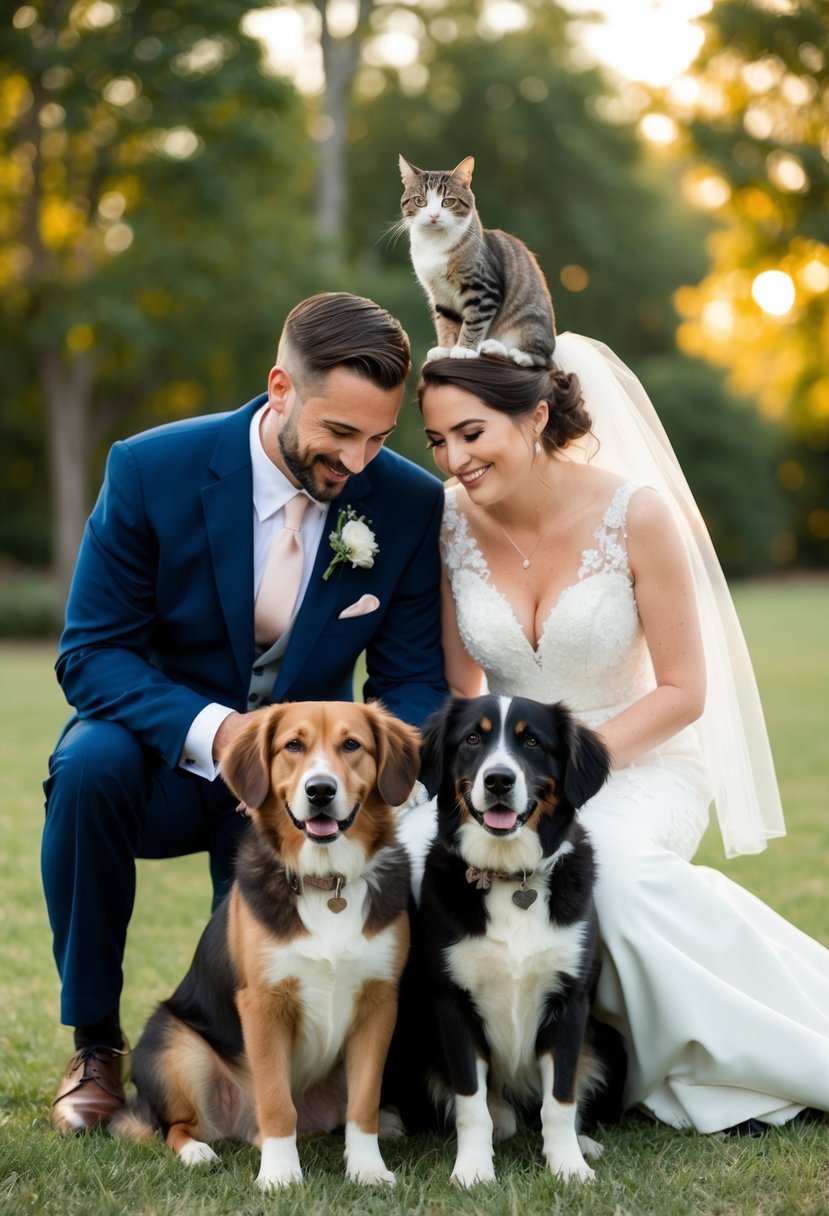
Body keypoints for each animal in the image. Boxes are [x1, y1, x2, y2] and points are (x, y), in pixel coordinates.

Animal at [110, 705, 420, 1186]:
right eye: (293, 745)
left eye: (352, 744)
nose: (320, 791)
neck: (326, 882)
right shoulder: (263, 1004)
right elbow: (275, 1103)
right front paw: (279, 1176)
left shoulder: (378, 1002)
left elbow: (363, 1103)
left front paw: (367, 1169)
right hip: (174, 1046)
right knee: (178, 1126)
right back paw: (198, 1151)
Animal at [396, 156, 551, 364]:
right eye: (420, 201)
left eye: (448, 201)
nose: (434, 216)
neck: (434, 244)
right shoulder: (440, 294)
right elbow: (446, 323)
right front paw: (445, 348)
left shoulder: (485, 289)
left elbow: (473, 322)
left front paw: (464, 349)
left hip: (528, 322)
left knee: (537, 358)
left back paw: (512, 352)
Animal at [405, 700, 619, 1181]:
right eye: (472, 738)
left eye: (532, 741)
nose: (499, 780)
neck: (509, 878)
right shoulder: (452, 1002)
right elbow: (472, 1104)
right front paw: (472, 1169)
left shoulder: (570, 999)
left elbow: (560, 1099)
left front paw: (568, 1165)